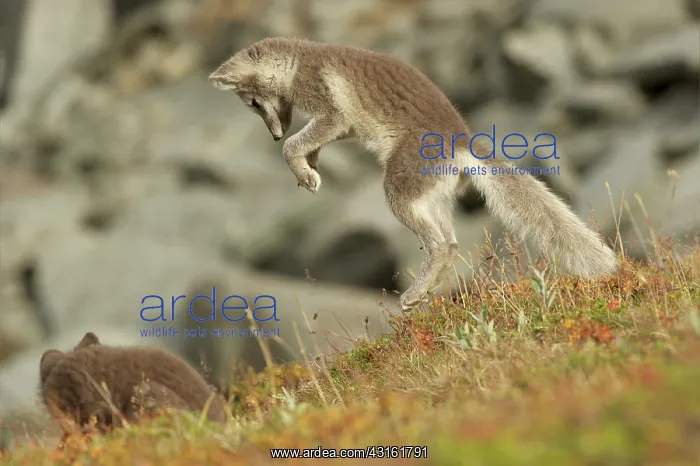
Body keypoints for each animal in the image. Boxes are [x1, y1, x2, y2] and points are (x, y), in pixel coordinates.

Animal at [208, 37, 619, 311]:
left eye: (253, 103)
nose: (274, 134)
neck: (300, 60)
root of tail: (463, 142)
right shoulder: (338, 127)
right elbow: (309, 145)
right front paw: (311, 170)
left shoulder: (331, 112)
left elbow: (294, 146)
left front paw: (301, 167)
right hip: (434, 198)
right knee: (451, 242)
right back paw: (426, 292)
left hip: (397, 191)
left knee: (440, 244)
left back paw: (413, 294)